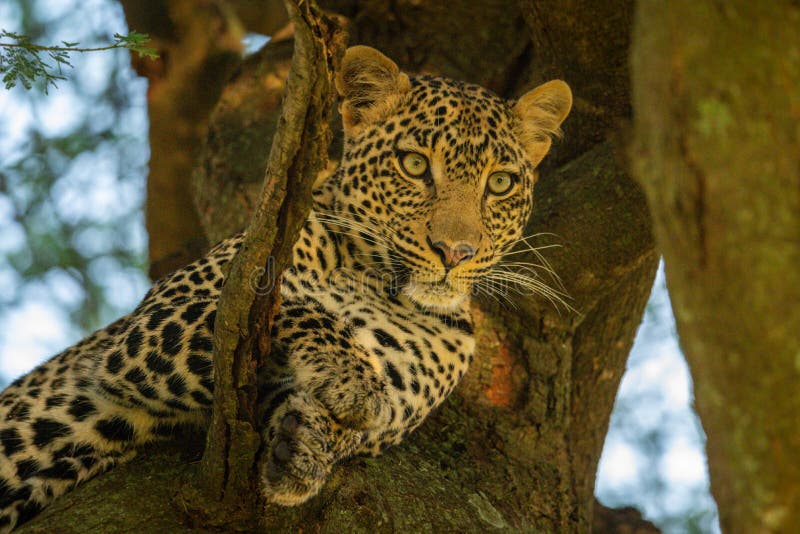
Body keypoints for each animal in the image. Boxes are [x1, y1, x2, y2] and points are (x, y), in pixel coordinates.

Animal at [0, 45, 572, 531]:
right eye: (413, 165)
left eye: (500, 183)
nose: (455, 252)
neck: (373, 279)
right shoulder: (155, 322)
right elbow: (299, 312)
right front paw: (353, 381)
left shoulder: (402, 399)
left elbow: (357, 423)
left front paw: (307, 445)